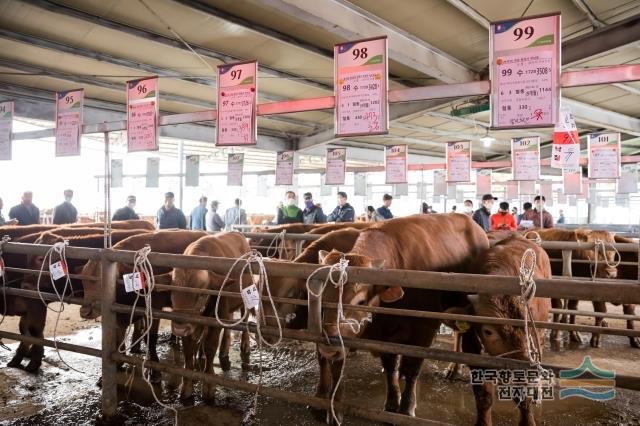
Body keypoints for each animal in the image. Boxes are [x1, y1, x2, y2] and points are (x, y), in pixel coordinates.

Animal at [169, 231, 251, 402]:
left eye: (201, 295)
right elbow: (188, 349)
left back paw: (245, 345)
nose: (179, 329)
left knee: (245, 319)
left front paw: (208, 385)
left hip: (244, 299)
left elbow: (210, 346)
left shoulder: (217, 316)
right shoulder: (191, 324)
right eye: (172, 293)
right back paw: (223, 347)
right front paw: (187, 385)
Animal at [312, 215, 488, 422]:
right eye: (323, 296)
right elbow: (390, 366)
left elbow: (412, 369)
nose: (328, 348)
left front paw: (406, 406)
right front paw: (391, 401)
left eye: (361, 301)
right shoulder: (385, 337)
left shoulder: (423, 331)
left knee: (459, 334)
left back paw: (454, 368)